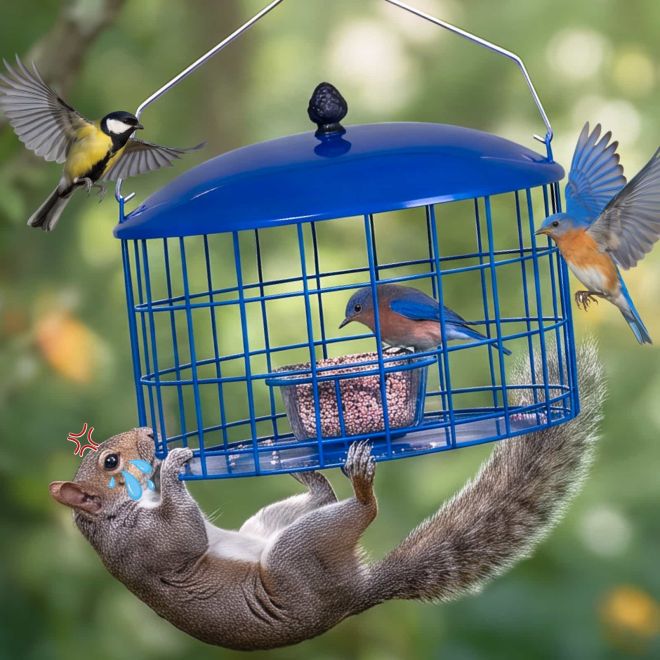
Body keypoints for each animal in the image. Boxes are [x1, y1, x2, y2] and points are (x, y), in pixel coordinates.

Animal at [49, 342, 604, 651]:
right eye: (110, 463)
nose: (150, 433)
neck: (119, 515)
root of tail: (353, 596)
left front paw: (170, 463)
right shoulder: (146, 546)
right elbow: (184, 538)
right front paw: (173, 467)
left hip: (269, 524)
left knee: (322, 497)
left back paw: (310, 471)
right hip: (296, 560)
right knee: (364, 510)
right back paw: (360, 487)